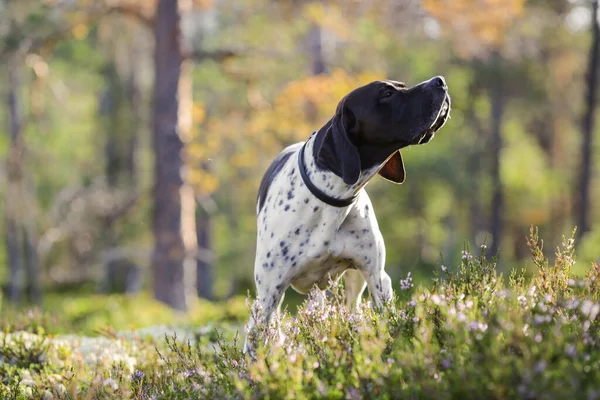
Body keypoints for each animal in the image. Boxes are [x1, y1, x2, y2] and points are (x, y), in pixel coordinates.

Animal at [244, 75, 450, 354]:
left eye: (401, 86)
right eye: (386, 93)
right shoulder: (268, 296)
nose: (440, 81)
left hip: (355, 282)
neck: (332, 199)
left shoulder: (377, 277)